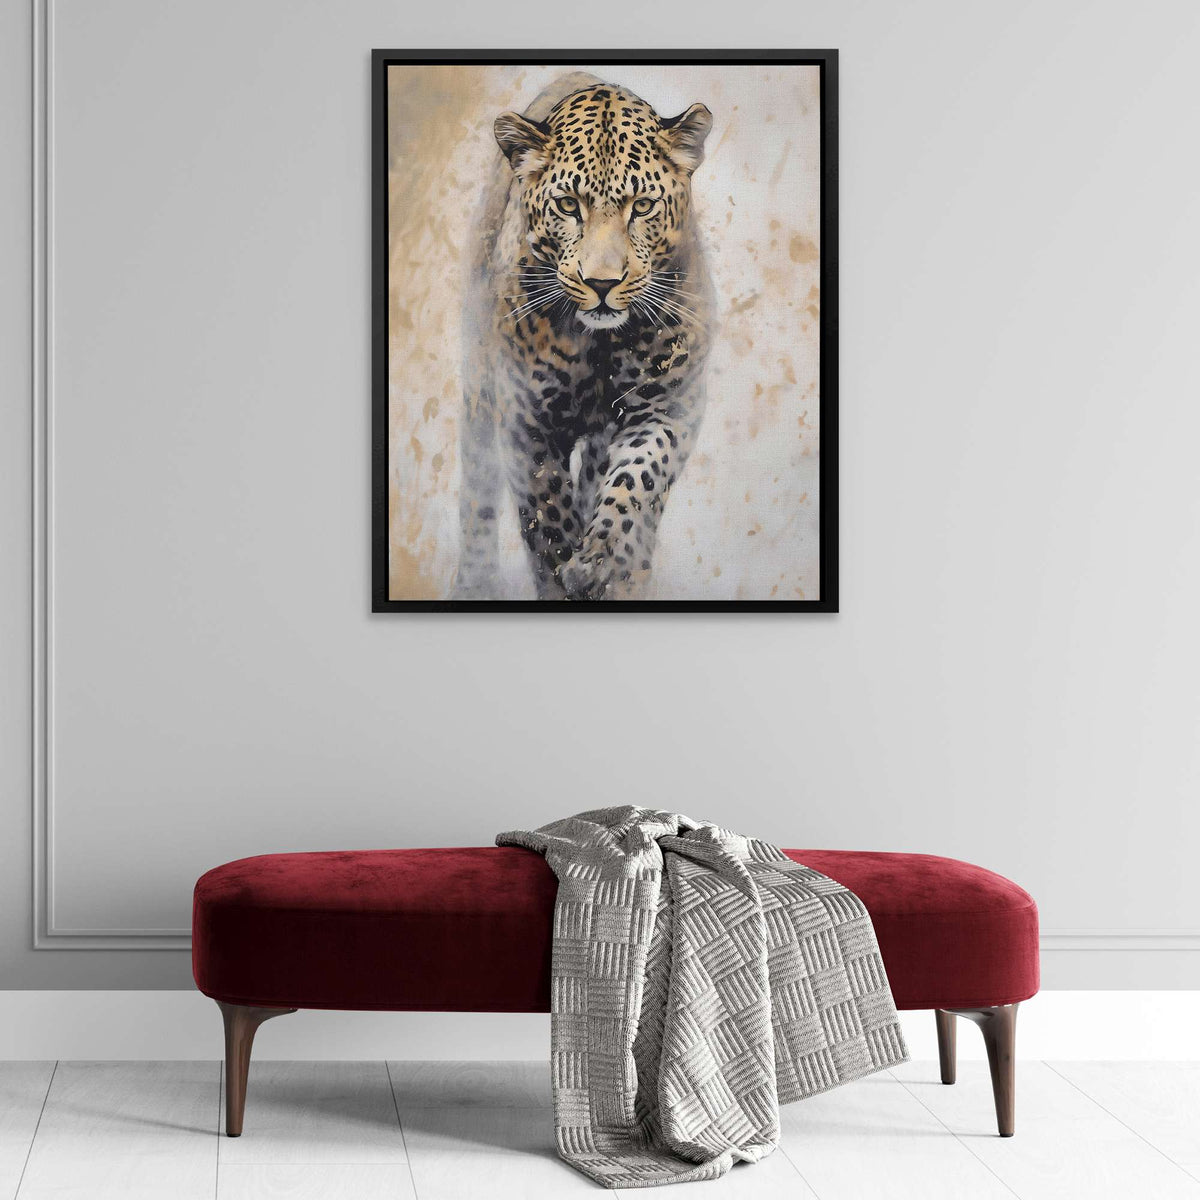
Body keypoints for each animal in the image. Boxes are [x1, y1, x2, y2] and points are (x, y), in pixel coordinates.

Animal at [453, 73, 714, 601]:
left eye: (643, 206)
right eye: (568, 205)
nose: (602, 283)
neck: (600, 346)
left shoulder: (668, 407)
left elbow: (636, 482)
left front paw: (600, 562)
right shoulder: (526, 421)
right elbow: (548, 517)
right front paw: (565, 576)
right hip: (478, 387)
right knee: (477, 488)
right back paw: (474, 581)